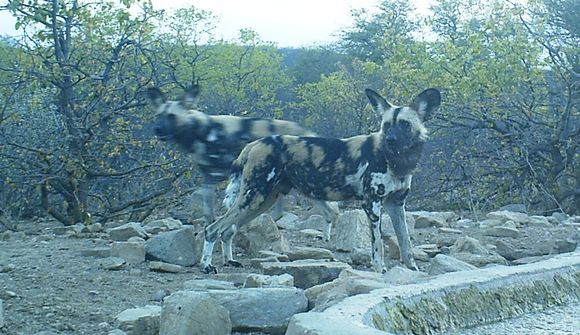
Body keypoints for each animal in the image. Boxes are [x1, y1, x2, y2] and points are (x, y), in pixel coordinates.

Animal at [145, 86, 338, 232]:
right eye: (158, 115)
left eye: (172, 116)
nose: (157, 129)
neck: (201, 131)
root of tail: (307, 132)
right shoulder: (209, 178)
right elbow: (209, 213)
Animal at [202, 88, 442, 274]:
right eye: (386, 125)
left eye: (404, 124)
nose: (390, 139)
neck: (396, 160)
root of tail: (254, 144)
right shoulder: (372, 205)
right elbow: (378, 247)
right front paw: (380, 270)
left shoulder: (396, 204)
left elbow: (406, 242)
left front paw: (413, 270)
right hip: (254, 197)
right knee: (213, 228)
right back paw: (207, 266)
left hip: (261, 201)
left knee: (228, 230)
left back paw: (229, 260)